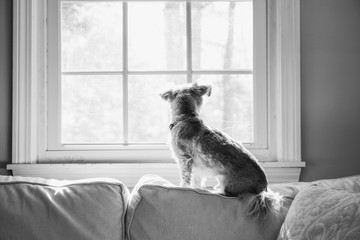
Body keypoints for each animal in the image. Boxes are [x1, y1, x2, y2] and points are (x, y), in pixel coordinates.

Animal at [162, 82, 282, 218]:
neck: (186, 118)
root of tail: (262, 189)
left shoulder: (184, 159)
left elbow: (185, 178)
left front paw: (183, 188)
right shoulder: (196, 166)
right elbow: (197, 180)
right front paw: (197, 188)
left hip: (230, 184)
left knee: (229, 194)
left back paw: (218, 191)